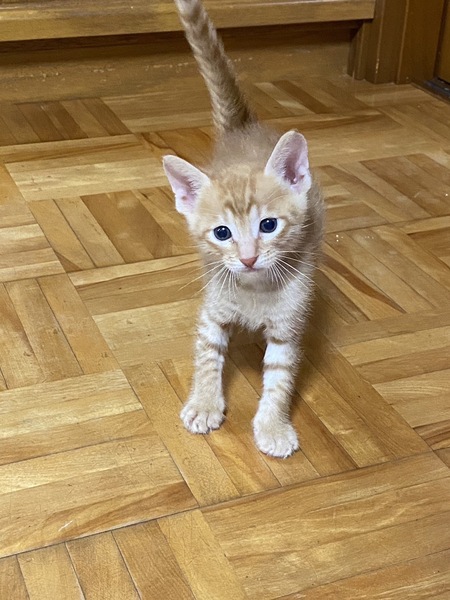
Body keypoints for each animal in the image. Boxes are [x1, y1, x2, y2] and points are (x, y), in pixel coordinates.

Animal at [163, 0, 325, 458]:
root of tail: (243, 129)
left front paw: (272, 425)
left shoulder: (290, 324)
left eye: (268, 225)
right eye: (222, 234)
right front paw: (204, 403)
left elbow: (280, 377)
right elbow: (206, 355)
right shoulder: (212, 311)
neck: (254, 289)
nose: (249, 258)